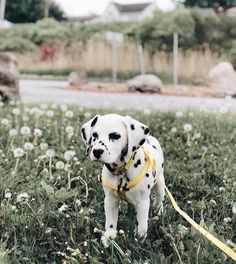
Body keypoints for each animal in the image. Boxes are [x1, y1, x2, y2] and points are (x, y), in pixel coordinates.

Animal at [82, 113, 165, 245]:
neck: (121, 171)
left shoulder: (142, 203)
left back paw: (159, 212)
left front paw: (139, 241)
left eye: (115, 135)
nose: (97, 151)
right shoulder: (110, 200)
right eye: (94, 135)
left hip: (160, 184)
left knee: (159, 200)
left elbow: (141, 225)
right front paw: (109, 237)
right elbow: (110, 222)